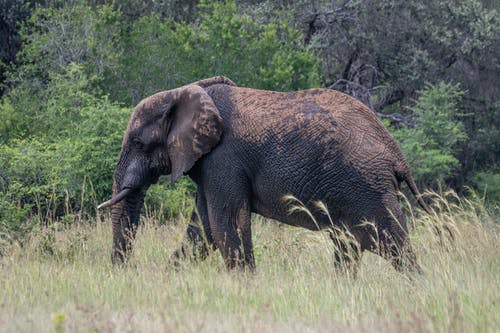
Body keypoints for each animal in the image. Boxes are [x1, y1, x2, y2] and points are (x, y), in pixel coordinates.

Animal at [97, 75, 430, 272]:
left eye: (138, 143)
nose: (124, 271)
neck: (184, 92)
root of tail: (396, 151)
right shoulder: (212, 164)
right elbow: (203, 230)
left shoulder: (223, 158)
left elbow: (226, 223)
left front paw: (245, 284)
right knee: (348, 243)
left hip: (365, 184)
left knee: (390, 242)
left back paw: (414, 286)